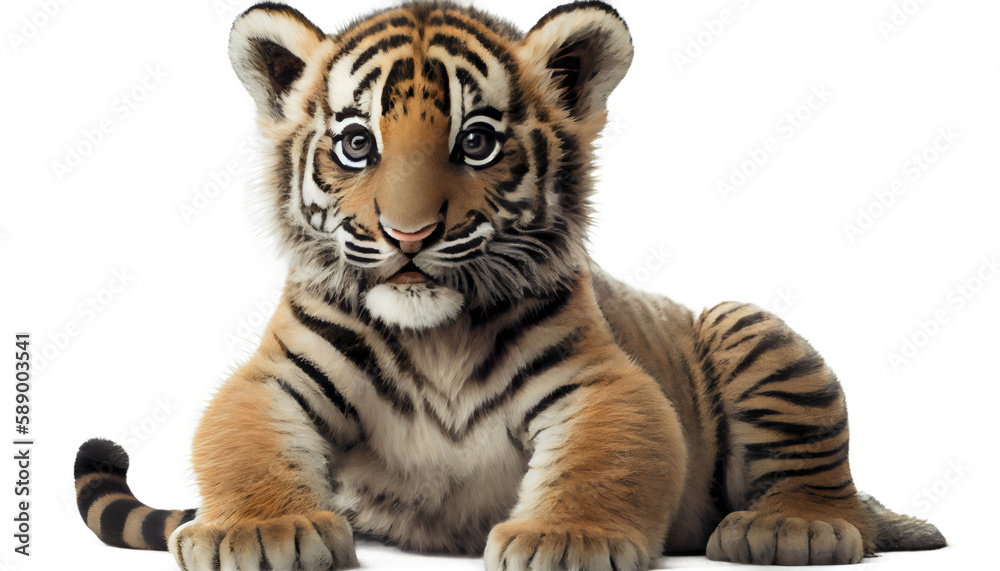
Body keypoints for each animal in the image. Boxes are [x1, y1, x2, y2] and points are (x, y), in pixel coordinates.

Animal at [73, 1, 947, 569]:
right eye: (357, 144)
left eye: (478, 141)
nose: (409, 235)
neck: (435, 334)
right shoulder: (278, 374)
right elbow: (241, 439)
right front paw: (259, 530)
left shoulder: (600, 380)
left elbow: (605, 452)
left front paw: (565, 538)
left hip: (748, 324)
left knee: (823, 481)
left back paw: (791, 528)